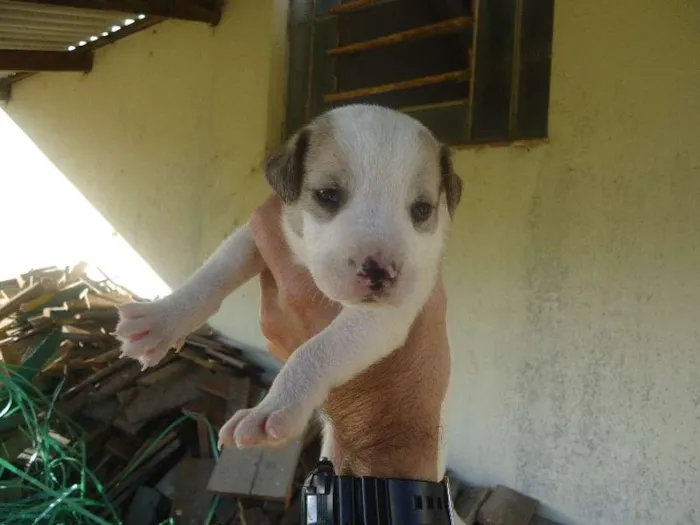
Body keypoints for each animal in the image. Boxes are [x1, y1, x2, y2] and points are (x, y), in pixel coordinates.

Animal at [114, 103, 462, 488]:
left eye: (422, 210)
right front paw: (162, 320)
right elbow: (214, 272)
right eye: (327, 195)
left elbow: (316, 350)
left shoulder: (388, 312)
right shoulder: (263, 234)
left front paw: (273, 408)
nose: (379, 272)